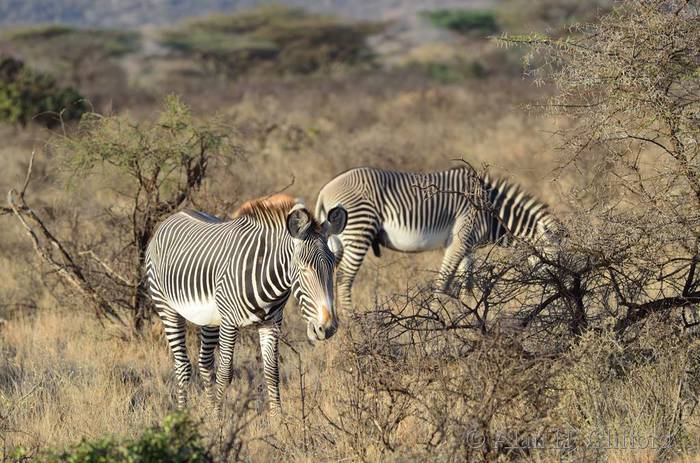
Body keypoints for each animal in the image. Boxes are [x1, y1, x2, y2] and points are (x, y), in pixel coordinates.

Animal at [146, 194, 348, 412]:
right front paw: (219, 420)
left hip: (210, 318)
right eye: (303, 269)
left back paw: (207, 412)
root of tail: (172, 217)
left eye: (333, 266)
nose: (327, 327)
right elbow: (225, 373)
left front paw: (278, 419)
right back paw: (183, 414)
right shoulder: (229, 323)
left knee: (205, 363)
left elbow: (272, 372)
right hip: (167, 307)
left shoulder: (272, 323)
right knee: (183, 366)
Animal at [318, 165, 564, 310]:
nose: (560, 291)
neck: (491, 211)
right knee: (344, 279)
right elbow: (442, 284)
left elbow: (467, 286)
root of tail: (325, 190)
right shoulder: (459, 240)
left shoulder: (468, 247)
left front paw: (470, 316)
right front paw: (440, 323)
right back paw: (355, 326)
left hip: (336, 241)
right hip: (359, 231)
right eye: (552, 258)